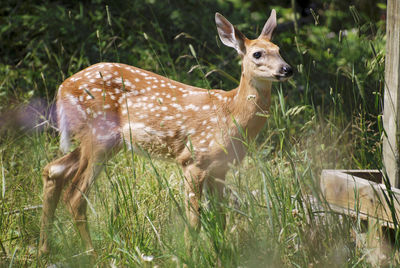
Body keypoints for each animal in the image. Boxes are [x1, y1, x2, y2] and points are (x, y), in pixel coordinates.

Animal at [39, 9, 292, 258]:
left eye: (279, 50)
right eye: (257, 54)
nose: (287, 69)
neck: (230, 113)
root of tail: (61, 88)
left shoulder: (221, 167)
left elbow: (220, 219)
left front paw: (223, 255)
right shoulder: (193, 159)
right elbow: (194, 221)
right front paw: (190, 259)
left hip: (101, 140)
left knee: (53, 170)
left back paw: (44, 251)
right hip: (100, 135)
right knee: (75, 195)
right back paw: (91, 255)